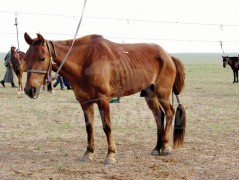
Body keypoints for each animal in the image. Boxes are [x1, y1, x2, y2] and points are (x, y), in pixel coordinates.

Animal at [22, 33, 187, 165]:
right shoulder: (85, 102)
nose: (30, 90)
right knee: (159, 116)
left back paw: (165, 147)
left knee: (170, 113)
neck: (86, 61)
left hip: (162, 94)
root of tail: (168, 55)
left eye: (42, 58)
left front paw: (110, 156)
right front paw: (88, 153)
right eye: (26, 58)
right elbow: (89, 127)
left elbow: (107, 127)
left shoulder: (103, 100)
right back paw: (157, 148)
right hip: (150, 95)